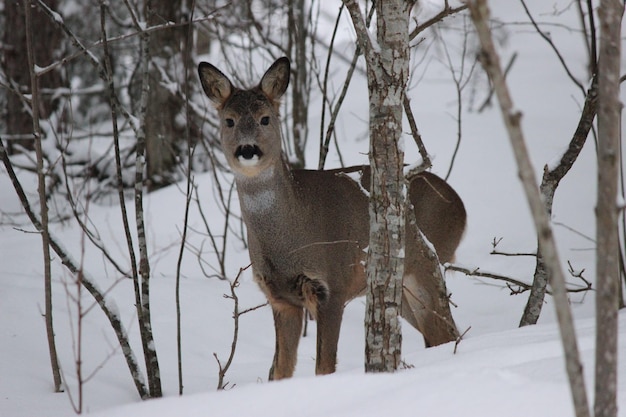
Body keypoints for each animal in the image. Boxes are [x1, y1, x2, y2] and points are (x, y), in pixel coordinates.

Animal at [197, 57, 466, 378]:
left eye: (265, 119)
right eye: (229, 120)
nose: (247, 149)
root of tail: (461, 207)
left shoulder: (333, 286)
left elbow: (324, 366)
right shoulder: (281, 299)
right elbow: (280, 370)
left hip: (429, 261)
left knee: (449, 330)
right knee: (438, 334)